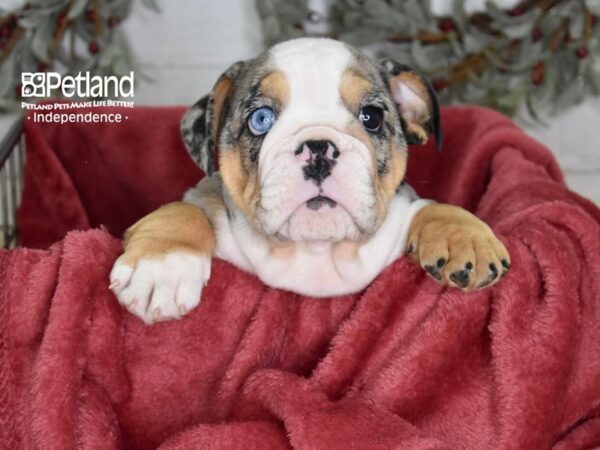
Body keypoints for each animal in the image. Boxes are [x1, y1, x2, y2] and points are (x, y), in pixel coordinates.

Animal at [110, 37, 508, 324]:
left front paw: (466, 240)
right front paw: (161, 268)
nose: (318, 148)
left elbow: (432, 207)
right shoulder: (203, 195)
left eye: (372, 116)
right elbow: (182, 212)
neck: (317, 250)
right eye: (261, 119)